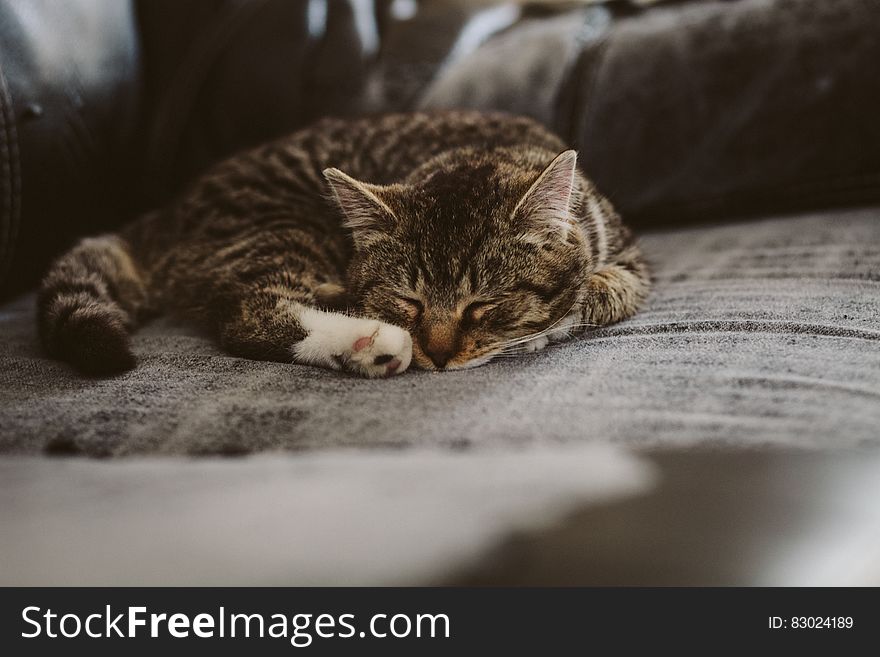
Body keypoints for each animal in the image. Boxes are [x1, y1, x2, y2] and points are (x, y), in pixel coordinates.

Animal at [37, 111, 648, 376]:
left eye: (483, 304)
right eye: (408, 301)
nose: (438, 355)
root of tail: (162, 214)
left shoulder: (629, 260)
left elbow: (602, 288)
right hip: (275, 225)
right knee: (247, 311)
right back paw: (366, 339)